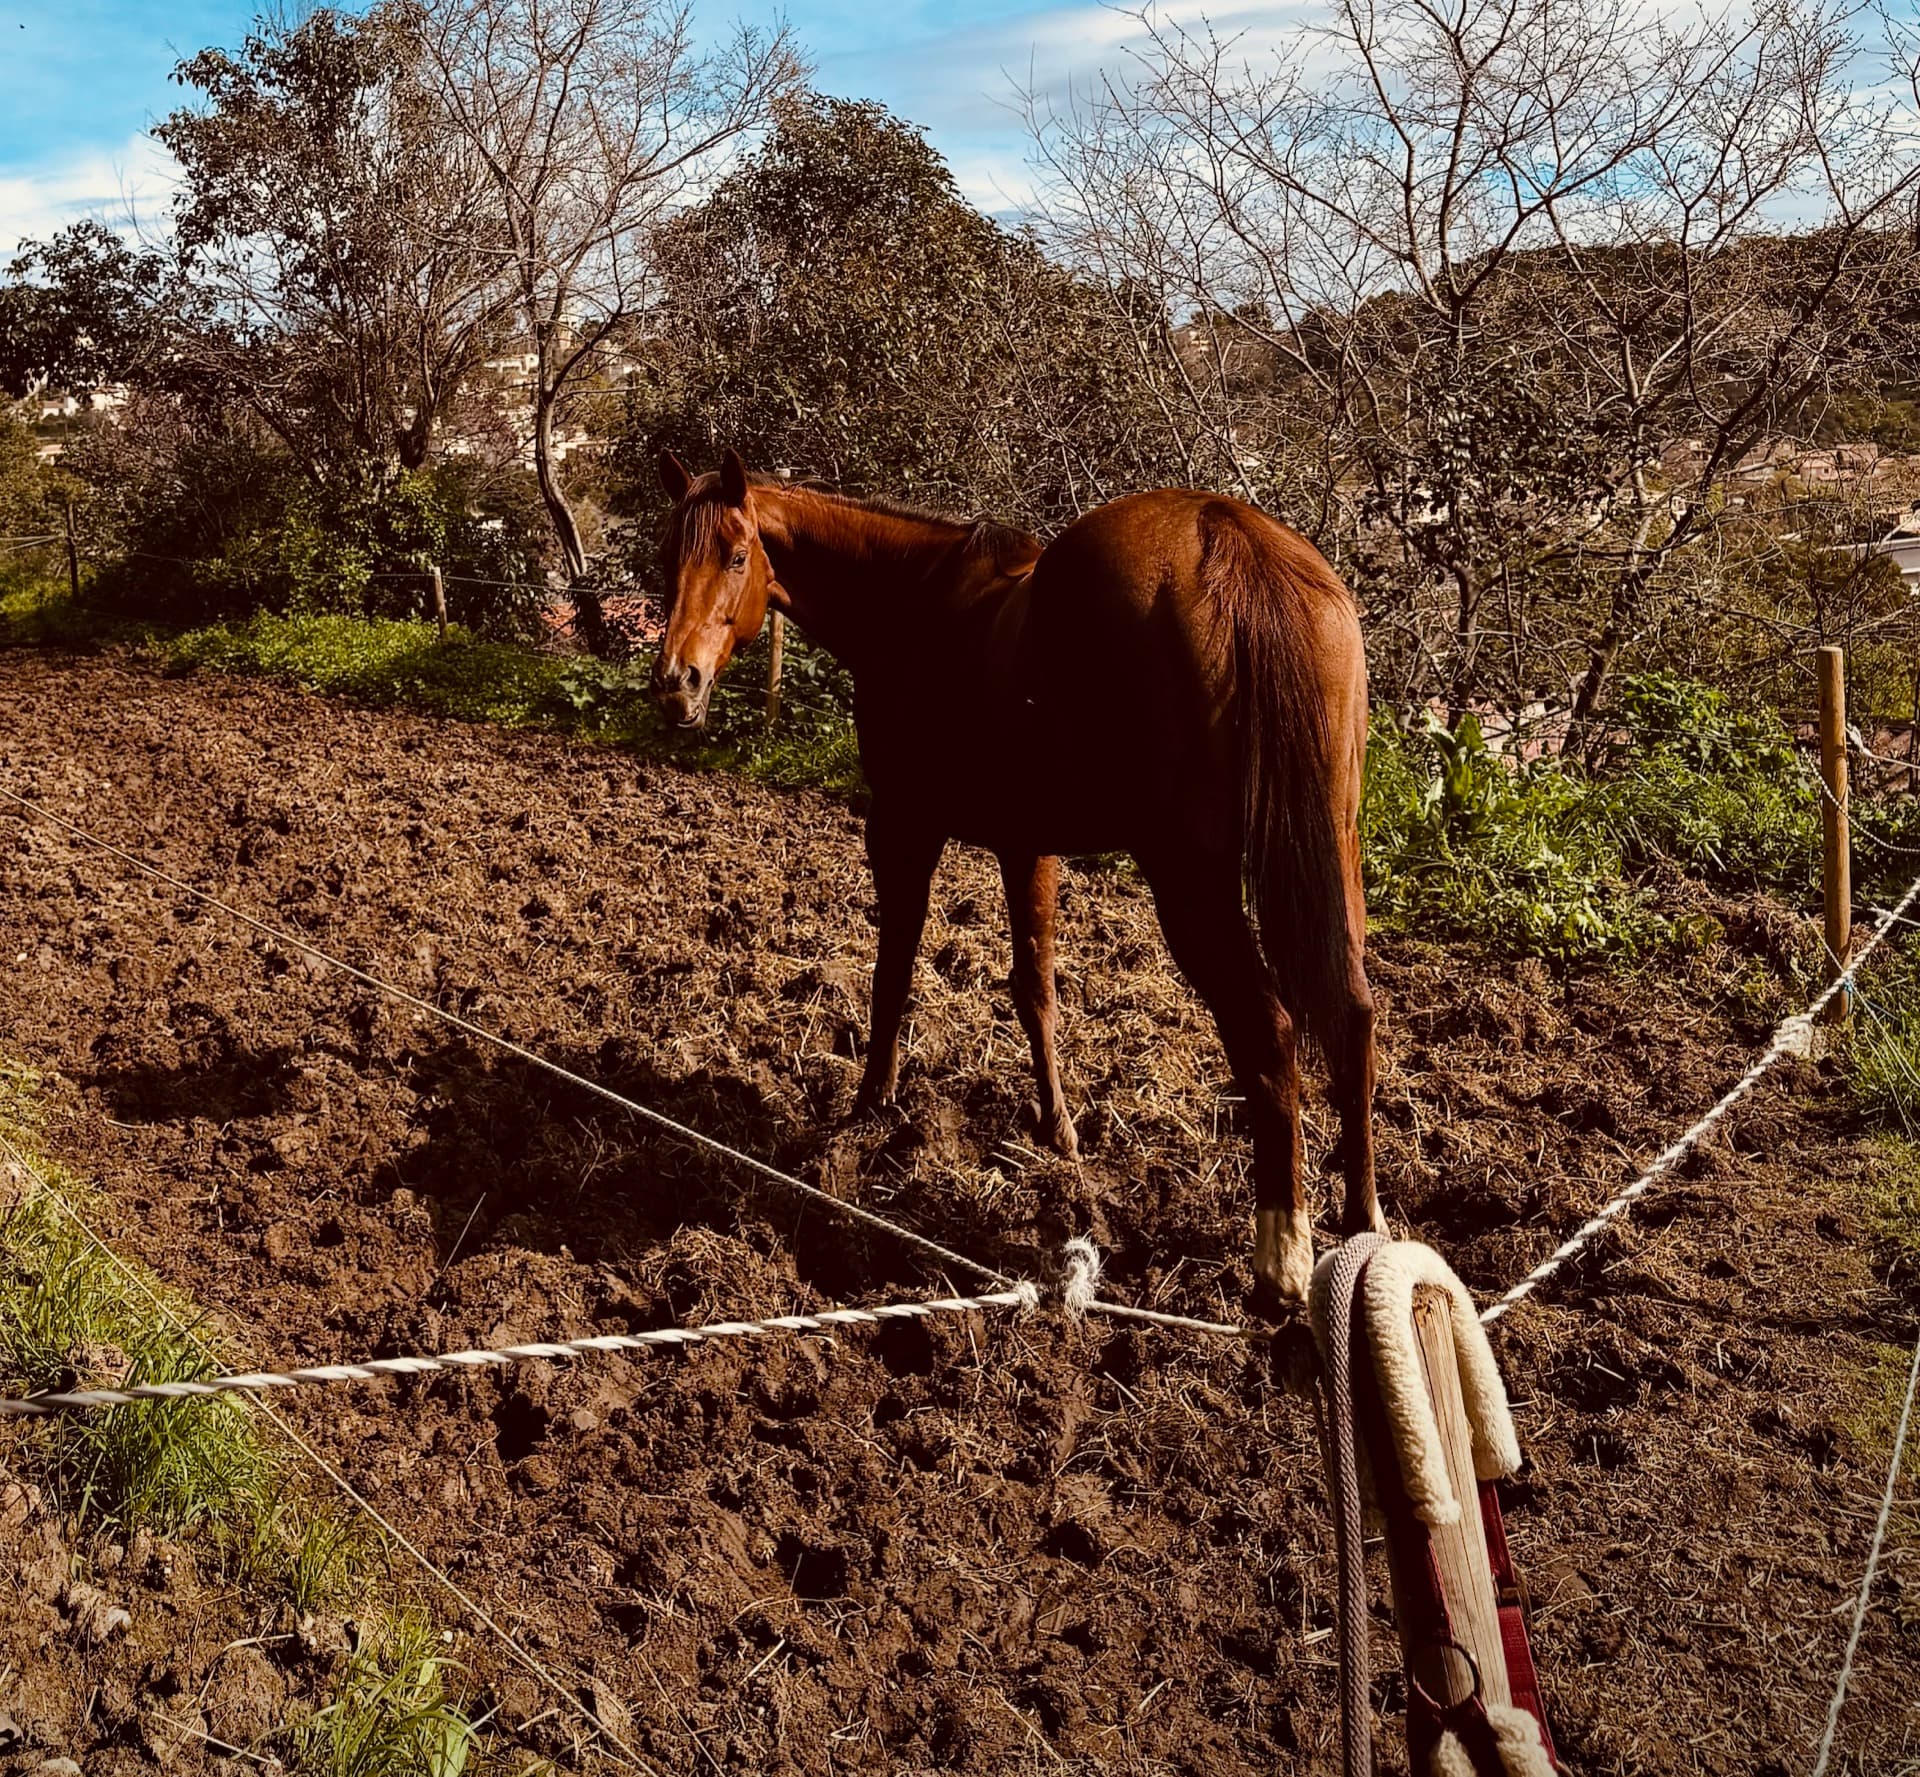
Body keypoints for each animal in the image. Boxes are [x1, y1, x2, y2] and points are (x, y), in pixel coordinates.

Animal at [651, 448, 1378, 1308]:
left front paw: (870, 1105)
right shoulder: (1027, 845)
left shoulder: (904, 824)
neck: (912, 598)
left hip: (1191, 880)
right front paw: (1058, 1132)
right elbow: (1035, 989)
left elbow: (893, 972)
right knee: (1354, 1015)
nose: (676, 683)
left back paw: (1281, 1260)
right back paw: (1362, 1224)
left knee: (1270, 1032)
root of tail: (1233, 540)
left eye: (736, 555)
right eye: (668, 556)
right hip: (1335, 854)